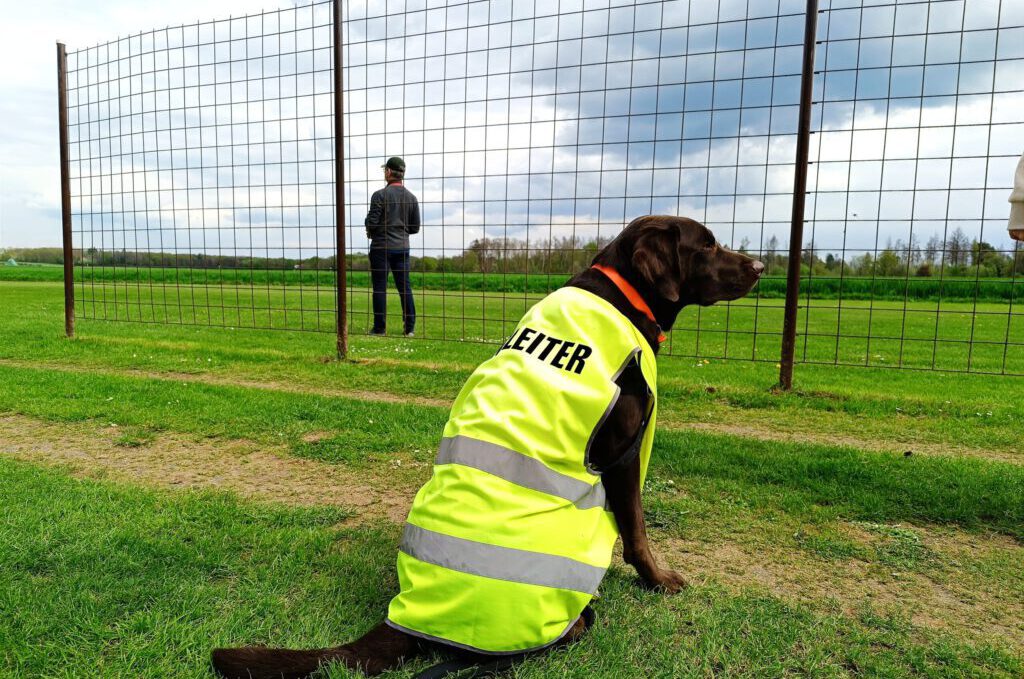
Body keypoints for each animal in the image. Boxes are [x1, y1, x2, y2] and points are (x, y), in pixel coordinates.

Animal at [211, 218, 765, 679]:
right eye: (707, 244)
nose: (761, 266)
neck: (620, 296)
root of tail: (407, 616)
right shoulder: (624, 454)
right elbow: (637, 529)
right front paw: (659, 579)